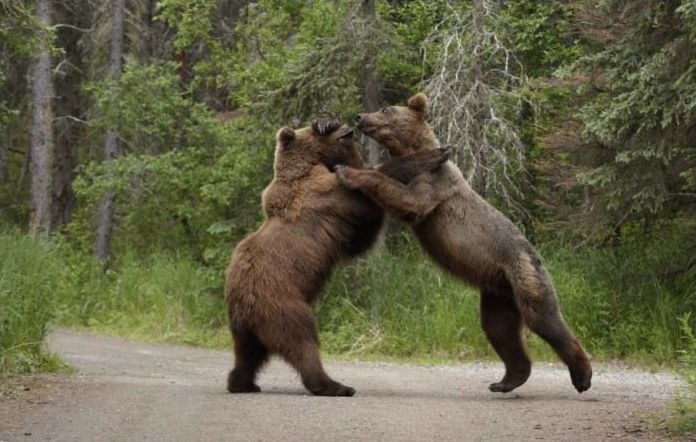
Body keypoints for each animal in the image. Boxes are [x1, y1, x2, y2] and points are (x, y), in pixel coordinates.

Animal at [226, 117, 448, 398]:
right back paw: (335, 385)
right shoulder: (330, 197)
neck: (307, 167)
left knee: (248, 354)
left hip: (243, 326)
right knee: (301, 340)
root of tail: (243, 303)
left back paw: (243, 383)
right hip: (280, 302)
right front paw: (434, 154)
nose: (346, 126)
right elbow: (366, 205)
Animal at [336, 93, 592, 394]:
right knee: (499, 328)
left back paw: (582, 376)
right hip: (499, 291)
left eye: (386, 109)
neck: (413, 150)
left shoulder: (435, 185)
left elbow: (408, 200)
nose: (360, 116)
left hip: (523, 272)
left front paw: (347, 172)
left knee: (543, 317)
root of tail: (535, 256)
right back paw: (506, 381)